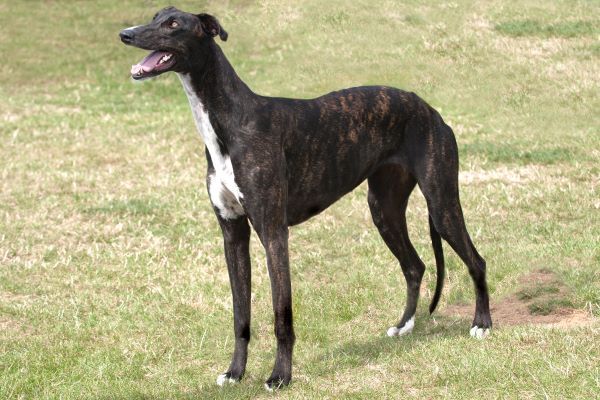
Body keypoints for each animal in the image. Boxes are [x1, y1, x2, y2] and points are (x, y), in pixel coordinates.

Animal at [118, 6, 492, 390]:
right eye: (155, 16)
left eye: (173, 24)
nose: (125, 34)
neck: (230, 121)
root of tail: (429, 109)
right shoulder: (233, 233)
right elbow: (240, 315)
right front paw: (235, 372)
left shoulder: (273, 233)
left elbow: (282, 315)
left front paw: (280, 376)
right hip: (383, 209)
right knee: (414, 265)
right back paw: (404, 325)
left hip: (441, 202)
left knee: (476, 260)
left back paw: (481, 324)